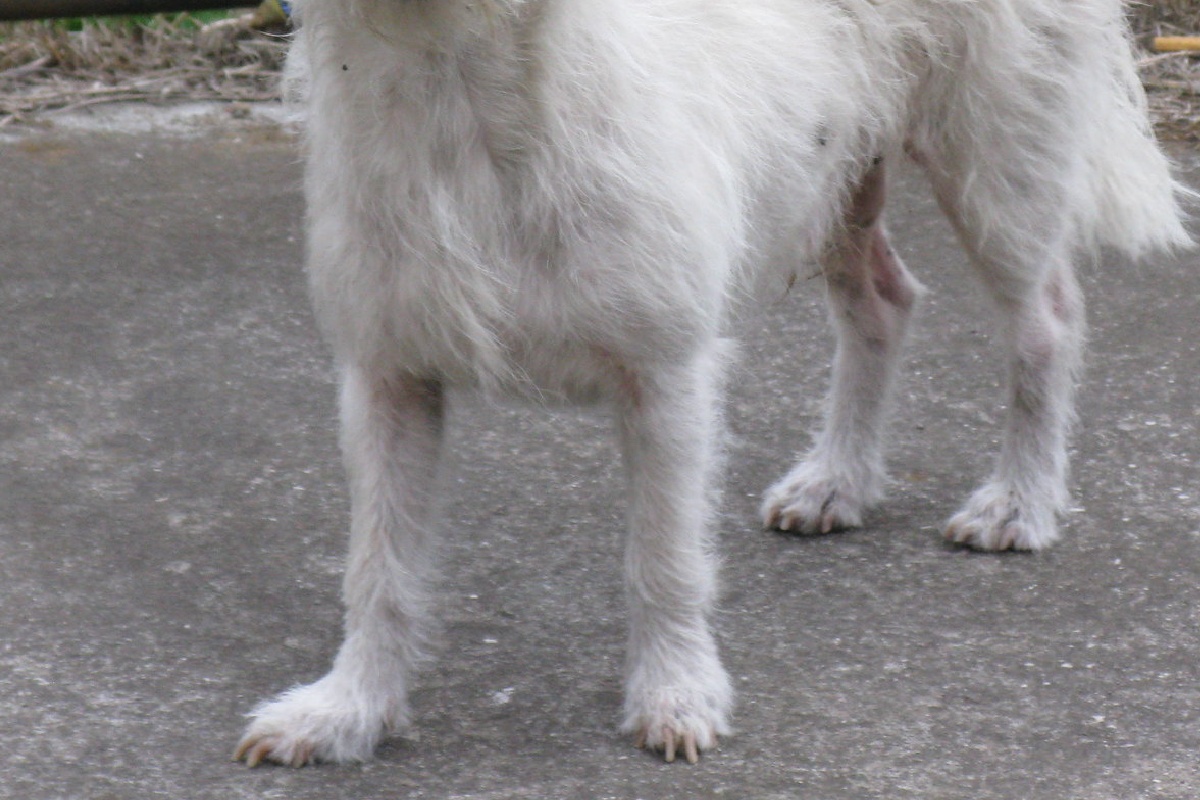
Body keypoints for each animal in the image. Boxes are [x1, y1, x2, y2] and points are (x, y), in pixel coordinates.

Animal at [234, 0, 1190, 767]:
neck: (460, 80)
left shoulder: (666, 381)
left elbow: (663, 561)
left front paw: (675, 694)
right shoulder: (386, 380)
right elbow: (378, 573)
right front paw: (347, 713)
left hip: (996, 169)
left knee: (1046, 326)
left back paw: (1020, 500)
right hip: (839, 175)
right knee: (883, 306)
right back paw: (838, 480)